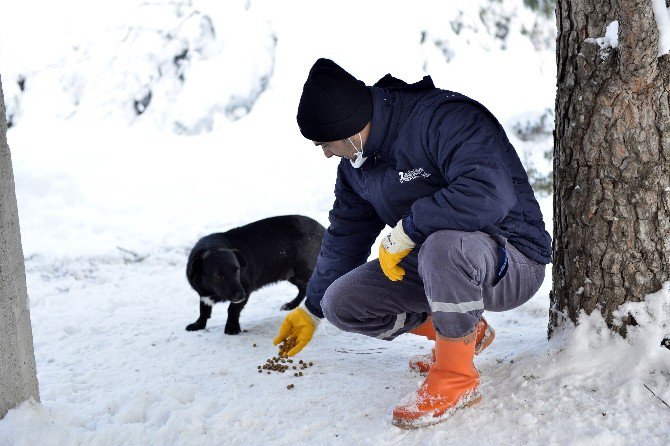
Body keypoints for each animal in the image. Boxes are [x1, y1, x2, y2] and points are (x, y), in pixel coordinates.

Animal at [186, 215, 328, 334]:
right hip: (292, 275)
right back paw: (291, 305)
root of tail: (322, 228)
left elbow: (232, 309)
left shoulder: (246, 288)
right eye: (218, 276)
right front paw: (198, 325)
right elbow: (203, 310)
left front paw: (232, 327)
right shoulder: (204, 295)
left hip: (304, 271)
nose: (241, 295)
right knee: (303, 289)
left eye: (237, 270)